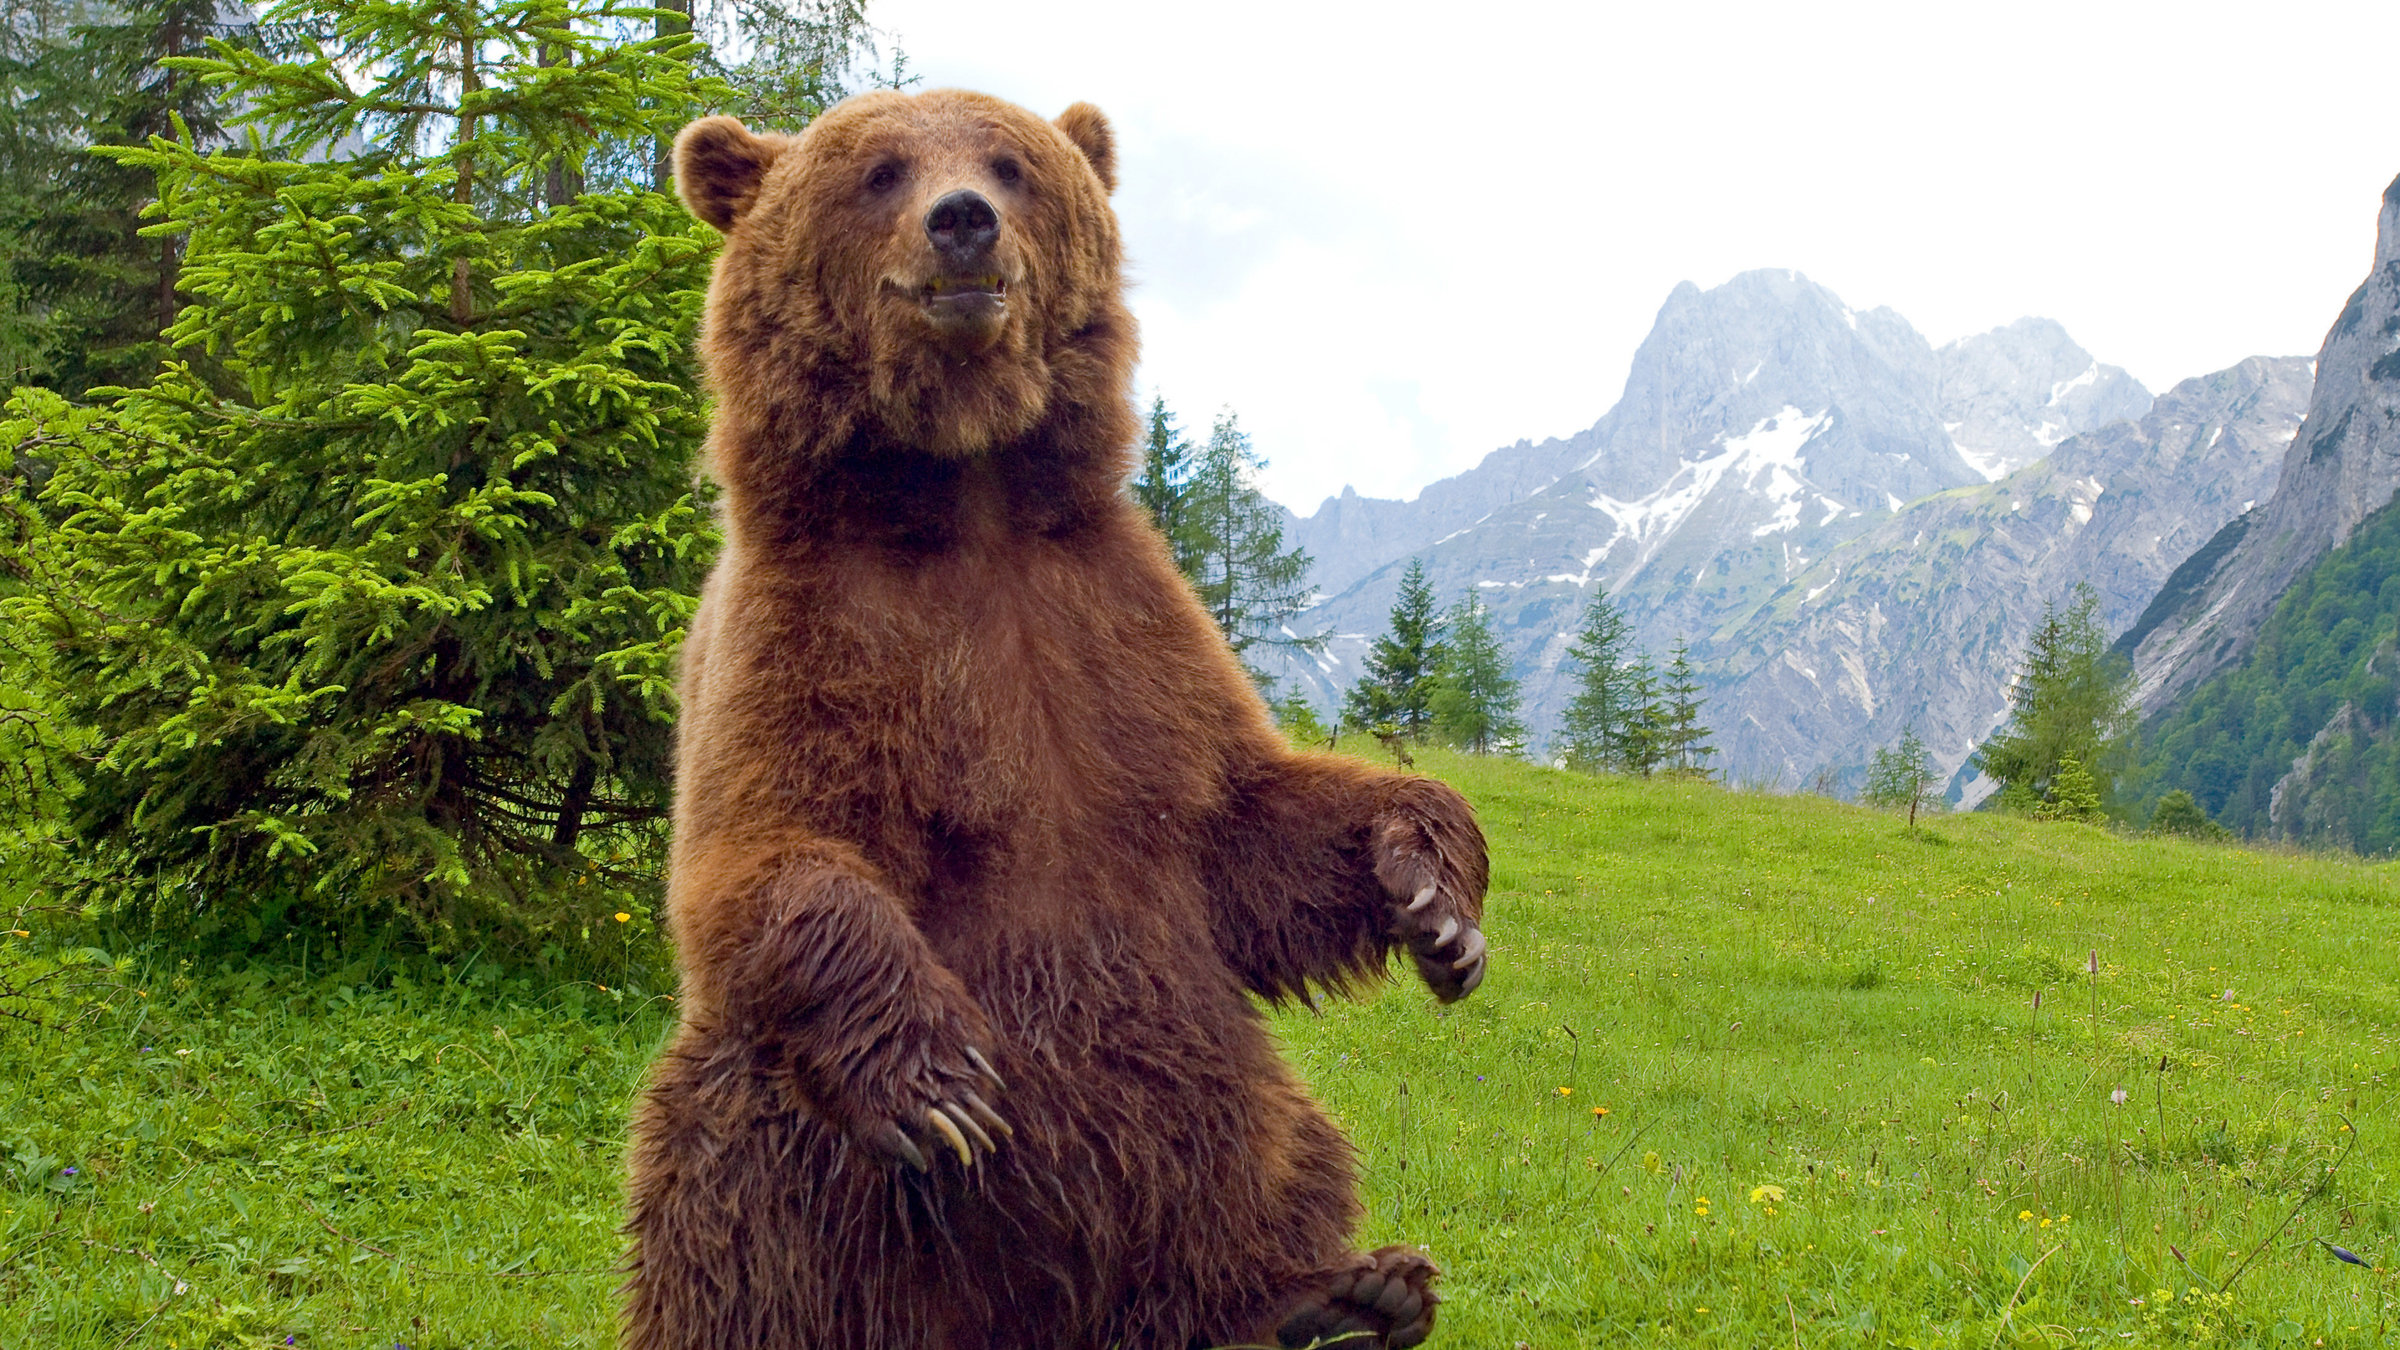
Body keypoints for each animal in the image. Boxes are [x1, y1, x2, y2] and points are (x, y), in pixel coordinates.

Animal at [622, 87, 1491, 1350]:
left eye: (1010, 162)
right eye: (880, 171)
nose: (963, 221)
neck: (967, 495)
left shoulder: (1119, 625)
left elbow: (1247, 826)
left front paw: (1433, 898)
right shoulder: (808, 633)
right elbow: (767, 853)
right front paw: (943, 1088)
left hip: (1211, 1093)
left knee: (1280, 1155)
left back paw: (1331, 1293)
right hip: (811, 1160)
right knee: (742, 1205)